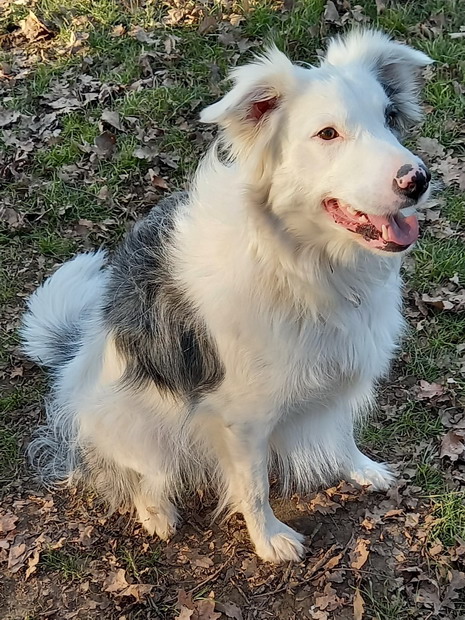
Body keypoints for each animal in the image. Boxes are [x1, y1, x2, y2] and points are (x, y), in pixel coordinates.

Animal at [22, 30, 432, 560]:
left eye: (390, 118)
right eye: (327, 134)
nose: (417, 179)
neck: (299, 265)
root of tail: (75, 358)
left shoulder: (339, 362)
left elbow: (341, 430)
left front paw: (360, 468)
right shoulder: (243, 419)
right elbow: (254, 488)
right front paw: (270, 540)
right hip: (135, 424)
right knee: (137, 476)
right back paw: (156, 512)